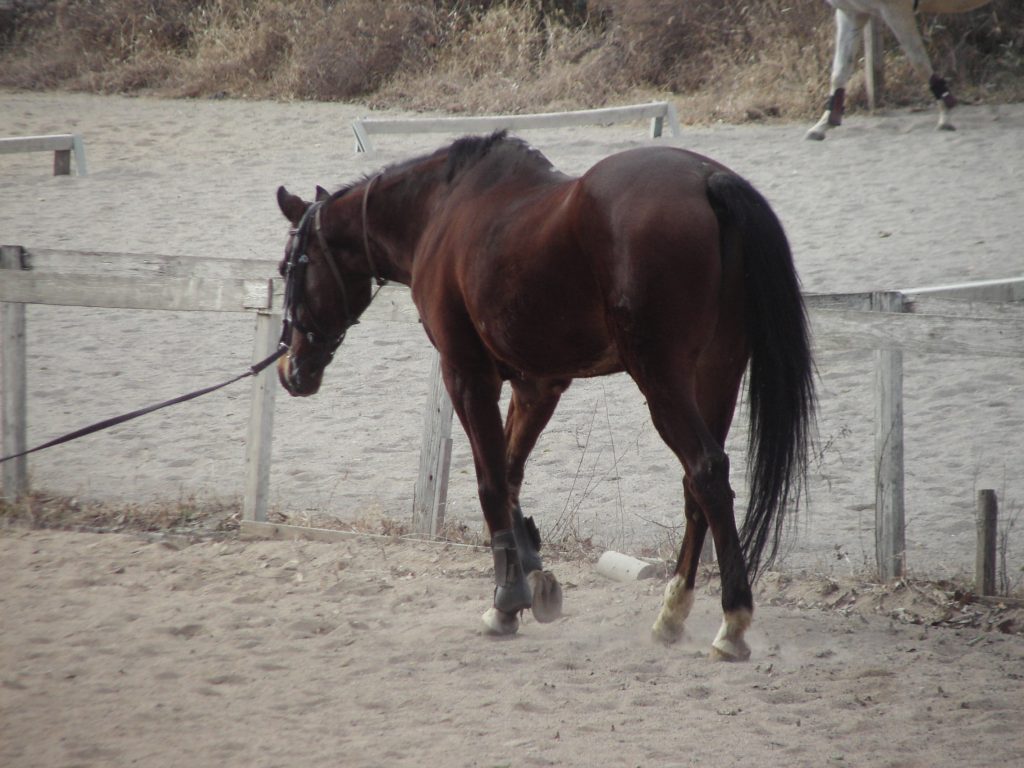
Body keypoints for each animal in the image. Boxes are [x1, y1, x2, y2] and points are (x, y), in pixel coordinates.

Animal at [275, 132, 815, 661]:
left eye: (287, 269)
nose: (289, 370)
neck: (441, 212)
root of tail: (707, 180)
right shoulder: (536, 385)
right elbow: (511, 474)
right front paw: (532, 574)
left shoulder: (467, 377)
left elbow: (491, 482)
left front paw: (506, 600)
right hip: (716, 374)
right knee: (695, 487)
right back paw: (672, 612)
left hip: (663, 382)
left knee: (706, 472)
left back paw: (732, 620)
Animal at [807, 0, 992, 140]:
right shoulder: (851, 13)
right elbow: (839, 72)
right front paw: (823, 125)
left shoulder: (896, 11)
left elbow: (919, 61)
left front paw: (945, 116)